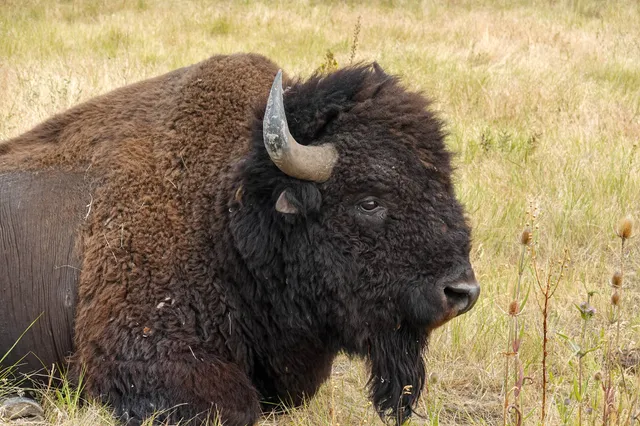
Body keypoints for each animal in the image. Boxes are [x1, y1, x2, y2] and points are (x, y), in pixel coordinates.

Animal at [0, 53, 480, 425]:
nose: (462, 292)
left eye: (445, 184)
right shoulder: (141, 351)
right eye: (369, 200)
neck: (225, 210)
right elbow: (236, 406)